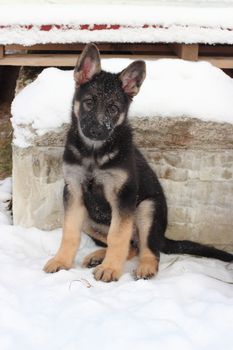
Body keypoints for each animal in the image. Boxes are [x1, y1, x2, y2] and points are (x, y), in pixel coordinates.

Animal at [43, 43, 231, 282]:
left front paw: (110, 269)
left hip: (147, 209)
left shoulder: (123, 197)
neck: (94, 153)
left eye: (113, 108)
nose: (97, 131)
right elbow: (69, 233)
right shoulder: (74, 192)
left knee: (149, 248)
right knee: (133, 246)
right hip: (89, 218)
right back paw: (98, 256)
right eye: (89, 103)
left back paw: (145, 267)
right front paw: (62, 261)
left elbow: (117, 236)